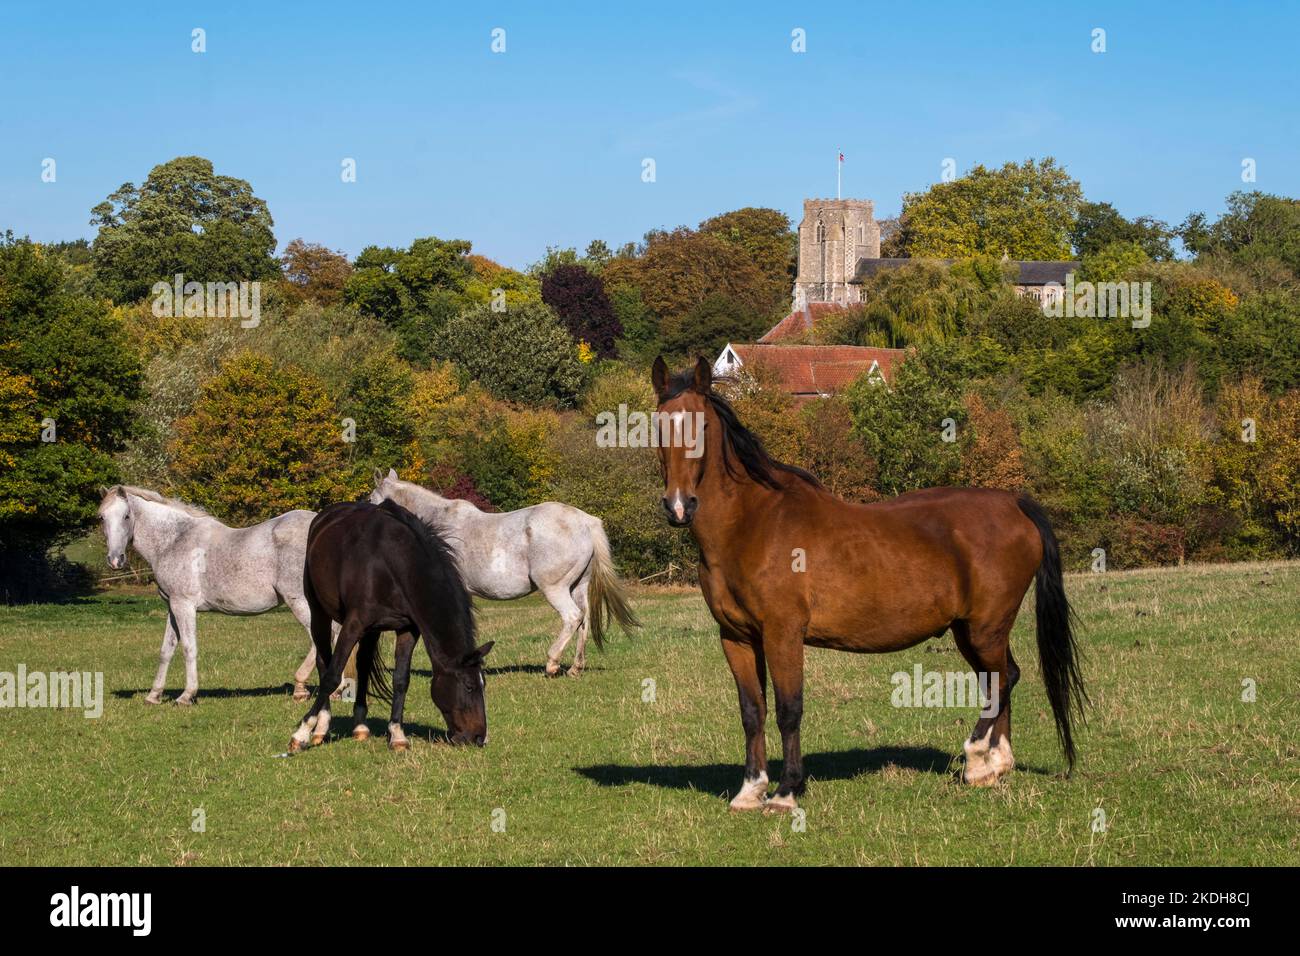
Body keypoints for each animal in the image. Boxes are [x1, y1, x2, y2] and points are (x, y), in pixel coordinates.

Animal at [98, 486, 343, 702]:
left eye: (127, 516)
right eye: (101, 517)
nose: (115, 560)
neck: (174, 540)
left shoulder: (184, 606)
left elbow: (188, 648)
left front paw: (187, 695)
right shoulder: (172, 607)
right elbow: (166, 650)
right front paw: (154, 695)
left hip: (300, 601)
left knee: (324, 636)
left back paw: (303, 687)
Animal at [289, 502, 491, 754]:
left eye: (483, 685)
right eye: (469, 687)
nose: (479, 737)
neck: (392, 564)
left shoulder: (407, 629)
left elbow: (401, 680)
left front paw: (397, 734)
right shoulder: (353, 624)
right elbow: (332, 677)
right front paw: (301, 733)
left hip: (371, 630)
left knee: (363, 665)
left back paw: (360, 726)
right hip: (318, 611)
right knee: (323, 661)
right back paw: (321, 726)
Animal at [369, 468, 637, 676]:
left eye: (371, 500)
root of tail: (586, 523)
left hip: (555, 589)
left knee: (572, 617)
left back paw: (552, 663)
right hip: (578, 586)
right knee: (584, 619)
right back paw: (575, 668)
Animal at [650, 358, 1086, 816]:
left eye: (702, 426)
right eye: (658, 425)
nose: (679, 506)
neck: (753, 523)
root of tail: (1015, 503)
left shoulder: (782, 633)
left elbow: (789, 709)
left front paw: (787, 791)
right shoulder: (736, 637)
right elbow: (753, 710)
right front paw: (751, 790)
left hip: (986, 628)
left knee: (1004, 678)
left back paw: (976, 757)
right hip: (971, 631)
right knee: (997, 679)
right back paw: (993, 767)